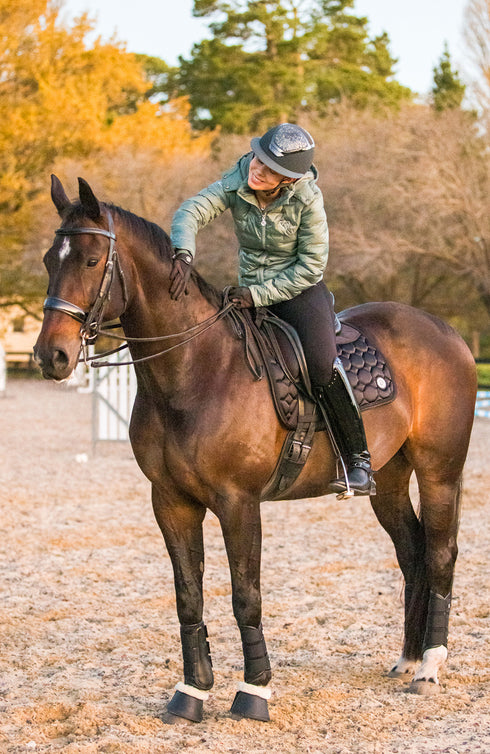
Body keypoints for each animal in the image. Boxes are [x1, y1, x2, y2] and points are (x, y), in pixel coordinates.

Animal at [34, 175, 477, 723]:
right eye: (50, 260)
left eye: (93, 260)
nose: (51, 355)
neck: (196, 369)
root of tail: (445, 331)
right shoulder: (171, 503)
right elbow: (188, 596)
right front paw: (192, 692)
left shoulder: (238, 503)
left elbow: (246, 596)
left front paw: (254, 692)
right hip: (388, 481)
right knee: (412, 552)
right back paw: (408, 659)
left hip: (440, 473)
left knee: (440, 553)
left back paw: (429, 667)